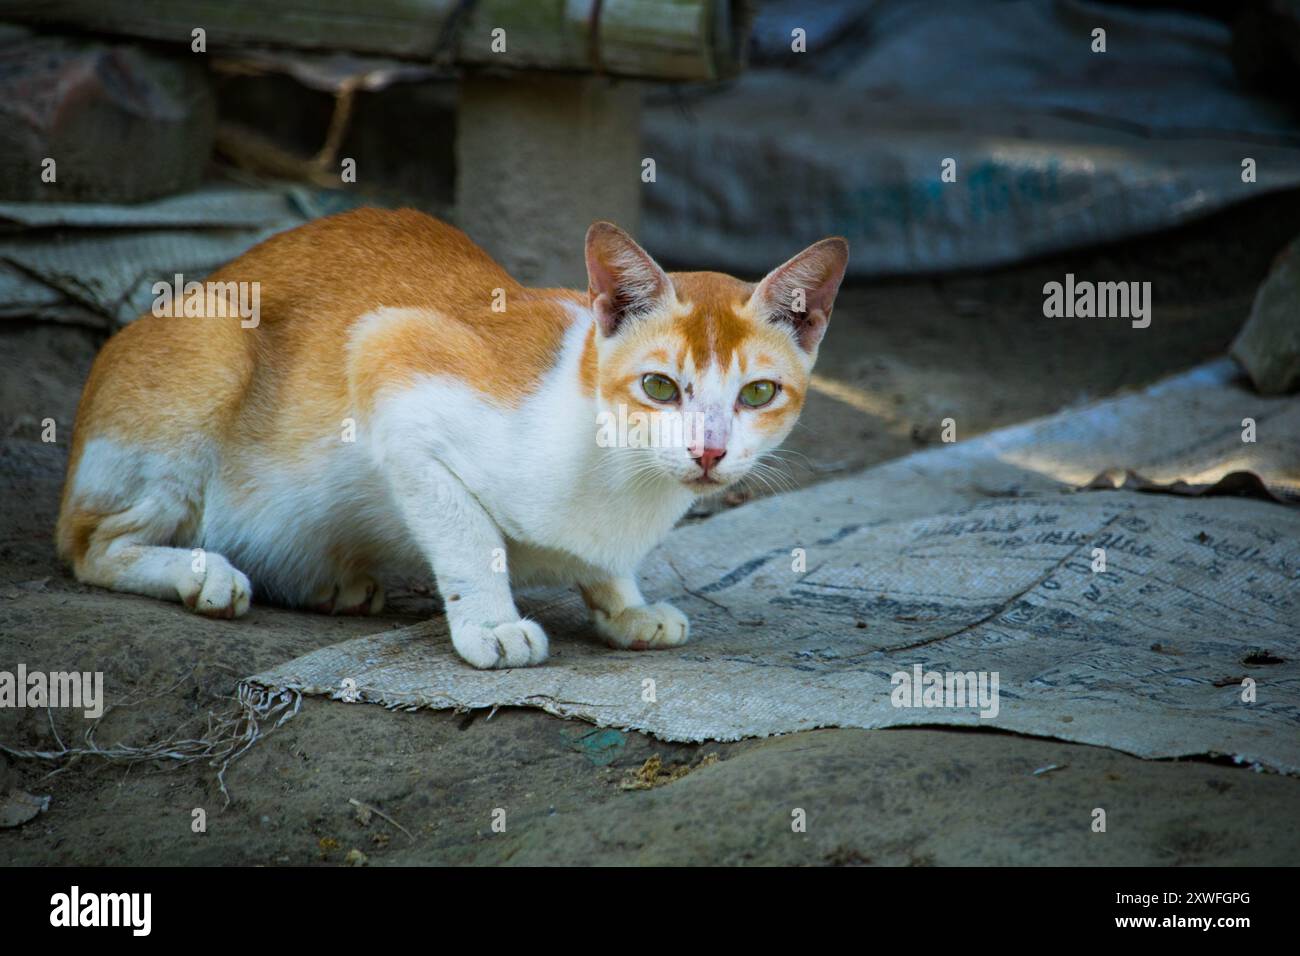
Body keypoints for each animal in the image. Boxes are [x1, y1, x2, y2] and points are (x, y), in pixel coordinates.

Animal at [58, 210, 852, 671]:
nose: (709, 453)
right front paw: (493, 624)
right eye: (660, 387)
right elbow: (471, 536)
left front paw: (624, 604)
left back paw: (329, 581)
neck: (621, 474)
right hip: (217, 341)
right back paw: (203, 572)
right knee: (90, 545)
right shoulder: (389, 357)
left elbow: (604, 565)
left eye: (757, 394)